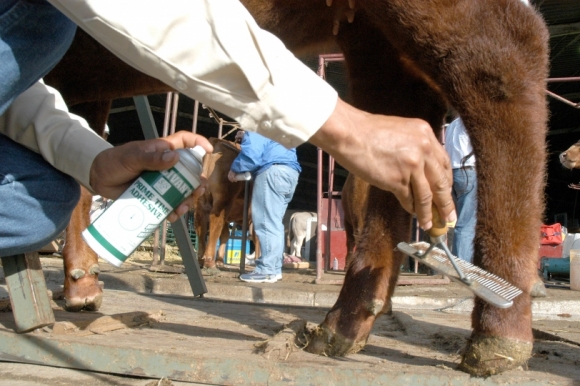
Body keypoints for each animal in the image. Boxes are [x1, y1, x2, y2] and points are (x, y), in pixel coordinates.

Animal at [44, 0, 548, 376]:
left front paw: (79, 283)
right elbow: (74, 156)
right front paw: (80, 282)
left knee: (501, 52)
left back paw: (499, 327)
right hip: (369, 34)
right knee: (402, 110)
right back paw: (345, 323)